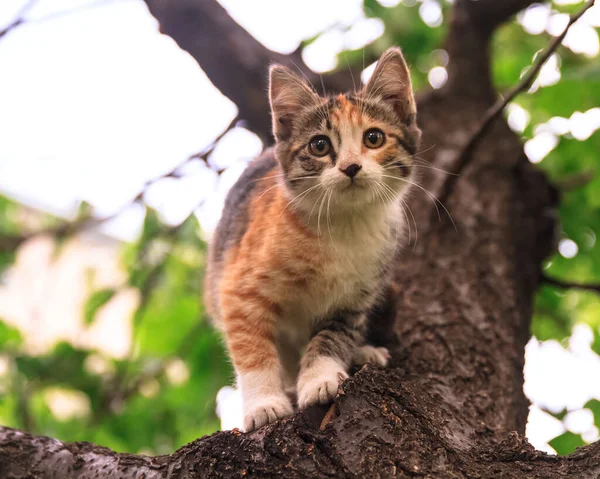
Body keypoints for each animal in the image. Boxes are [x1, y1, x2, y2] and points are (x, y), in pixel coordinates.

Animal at [204, 47, 420, 434]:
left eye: (374, 138)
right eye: (320, 145)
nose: (350, 167)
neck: (344, 225)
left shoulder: (355, 296)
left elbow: (333, 335)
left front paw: (319, 378)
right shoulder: (238, 288)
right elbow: (251, 346)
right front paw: (264, 403)